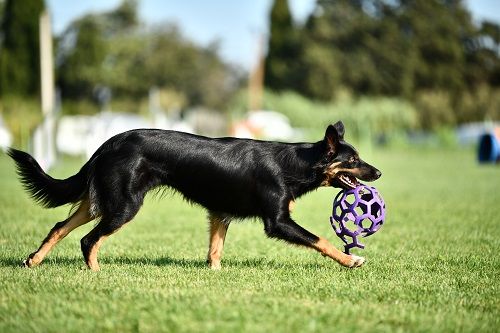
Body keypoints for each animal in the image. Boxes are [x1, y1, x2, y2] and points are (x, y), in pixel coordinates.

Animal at [7, 119, 380, 270]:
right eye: (354, 161)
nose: (377, 173)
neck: (292, 164)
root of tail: (108, 144)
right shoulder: (277, 221)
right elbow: (321, 240)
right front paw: (350, 260)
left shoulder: (220, 213)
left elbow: (215, 251)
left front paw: (214, 275)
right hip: (124, 206)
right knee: (88, 240)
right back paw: (96, 273)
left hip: (99, 202)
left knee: (59, 227)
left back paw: (33, 261)